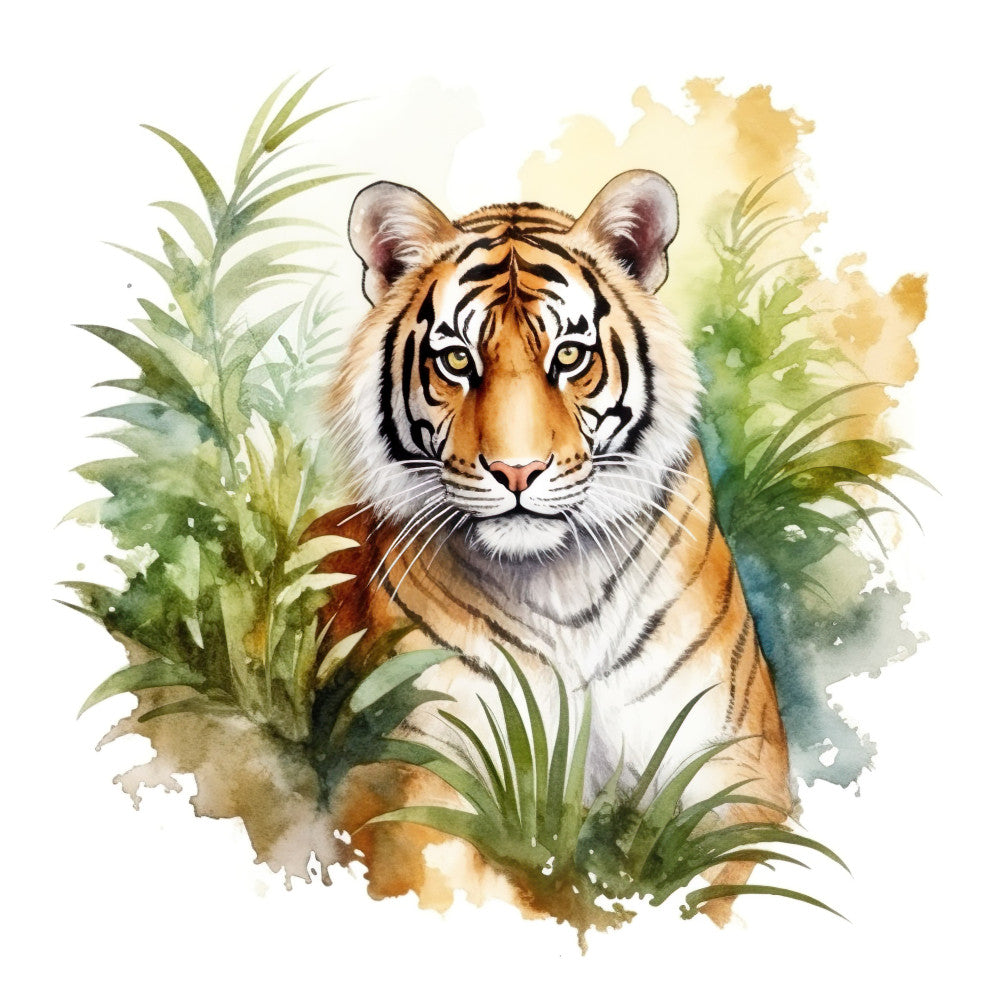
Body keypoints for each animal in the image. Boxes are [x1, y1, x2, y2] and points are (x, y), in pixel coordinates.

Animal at [308, 169, 793, 924]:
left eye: (569, 355)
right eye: (457, 359)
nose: (517, 471)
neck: (562, 582)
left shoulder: (739, 780)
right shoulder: (409, 767)